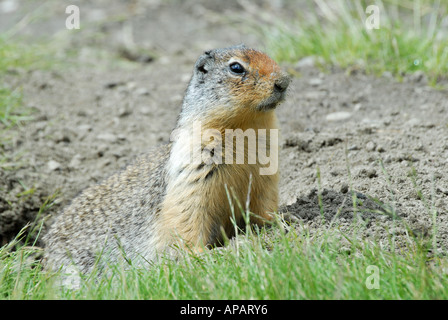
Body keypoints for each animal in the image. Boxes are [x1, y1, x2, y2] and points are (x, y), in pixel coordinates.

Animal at [43, 44, 290, 276]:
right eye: (236, 67)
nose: (284, 82)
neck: (245, 129)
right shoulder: (192, 172)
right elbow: (188, 217)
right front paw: (208, 255)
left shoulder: (267, 172)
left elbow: (264, 203)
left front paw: (280, 223)